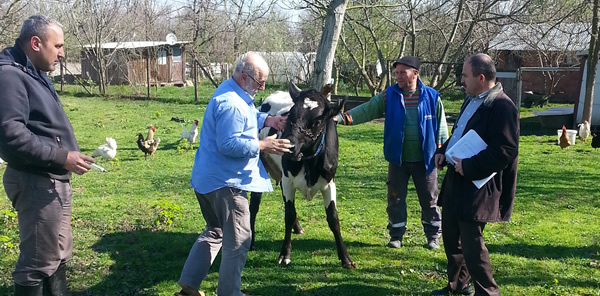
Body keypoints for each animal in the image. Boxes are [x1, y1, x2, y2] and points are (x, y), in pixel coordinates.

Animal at [248, 82, 356, 270]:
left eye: (318, 121)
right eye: (290, 114)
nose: (289, 146)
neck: (309, 161)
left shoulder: (329, 183)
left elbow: (333, 219)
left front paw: (345, 258)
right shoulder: (288, 181)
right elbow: (288, 215)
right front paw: (284, 254)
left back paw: (297, 227)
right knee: (254, 205)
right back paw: (252, 239)